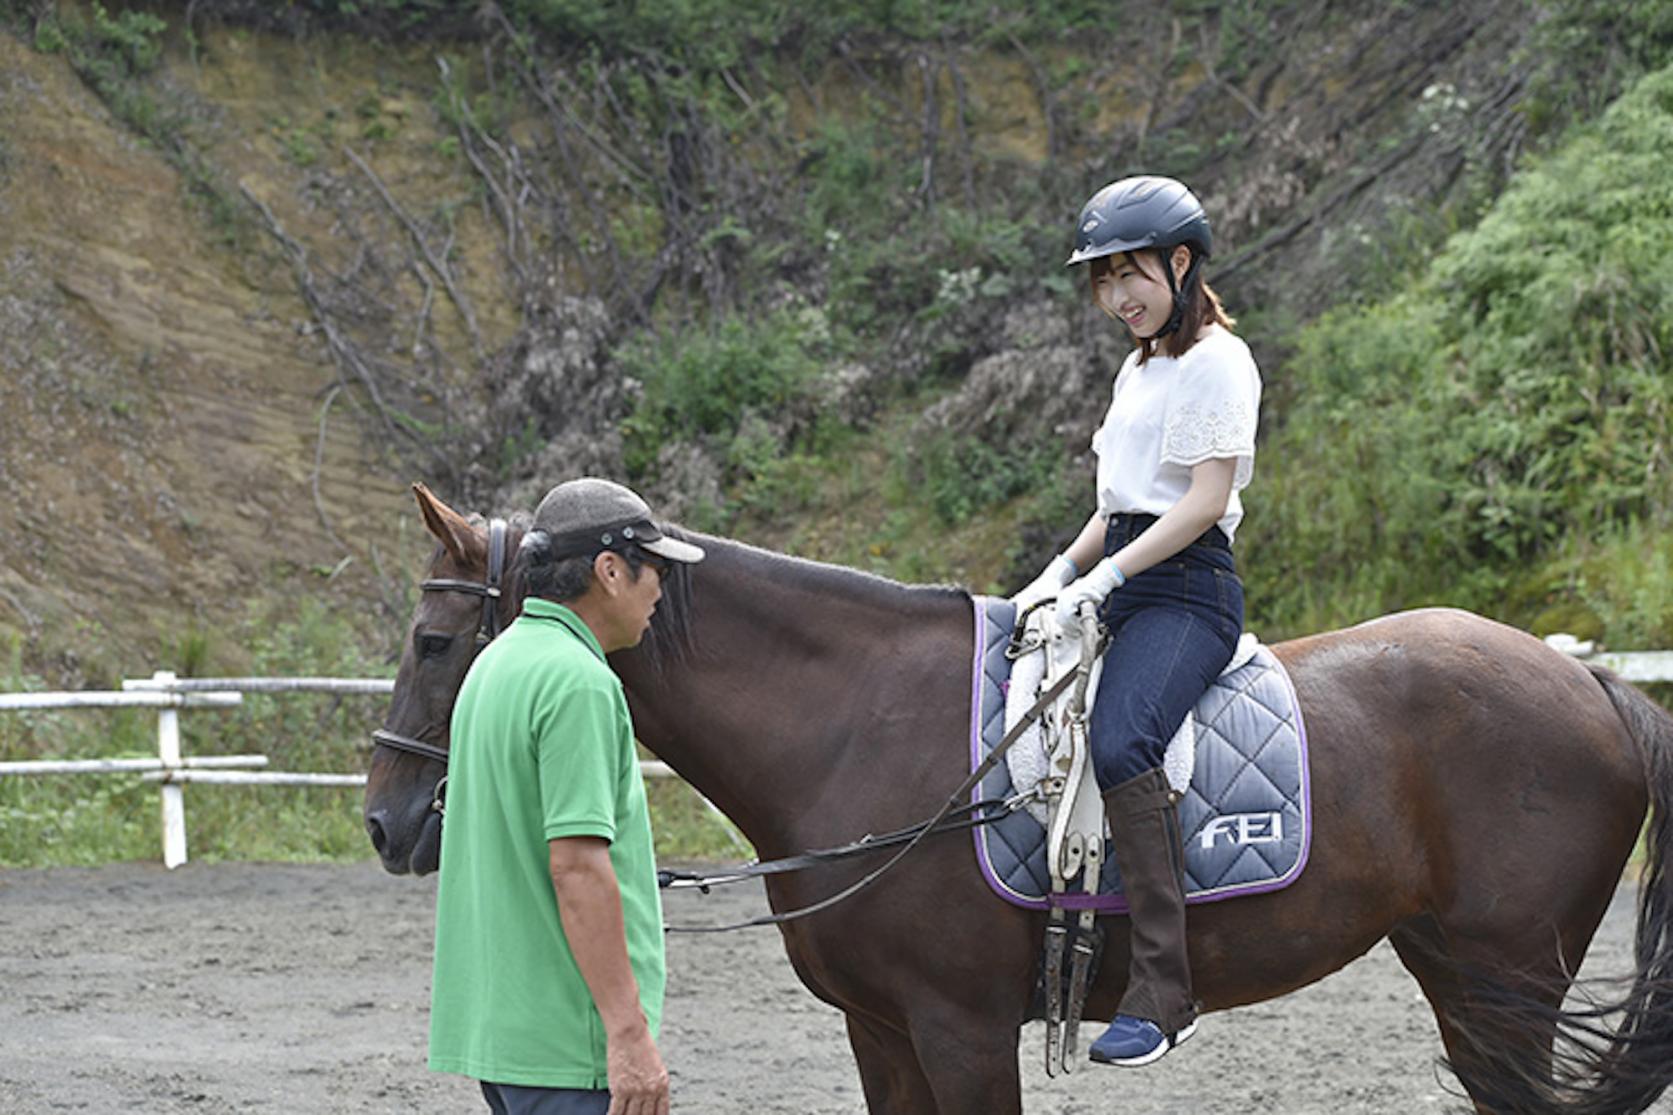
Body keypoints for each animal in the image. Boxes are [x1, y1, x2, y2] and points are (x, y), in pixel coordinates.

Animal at [366, 485, 1673, 1111]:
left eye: (433, 641)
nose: (383, 821)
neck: (855, 722)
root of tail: (1588, 680)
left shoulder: (959, 1026)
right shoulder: (882, 1029)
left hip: (1507, 975)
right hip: (1462, 974)